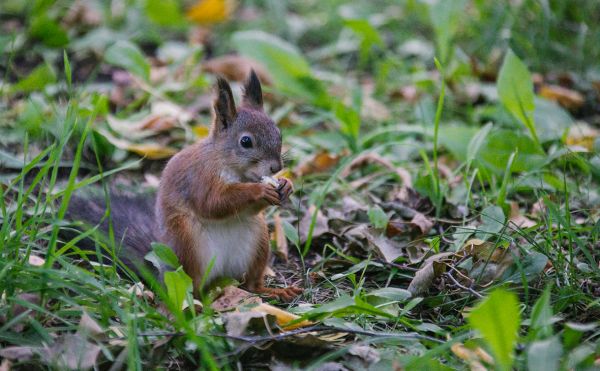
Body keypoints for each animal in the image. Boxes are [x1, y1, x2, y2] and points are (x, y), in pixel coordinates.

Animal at [68, 72, 304, 302]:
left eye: (279, 133)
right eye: (245, 142)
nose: (276, 167)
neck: (231, 167)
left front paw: (287, 185)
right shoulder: (199, 179)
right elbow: (213, 203)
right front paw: (259, 190)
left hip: (258, 242)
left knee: (250, 285)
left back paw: (273, 291)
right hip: (188, 246)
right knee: (189, 290)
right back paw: (194, 306)